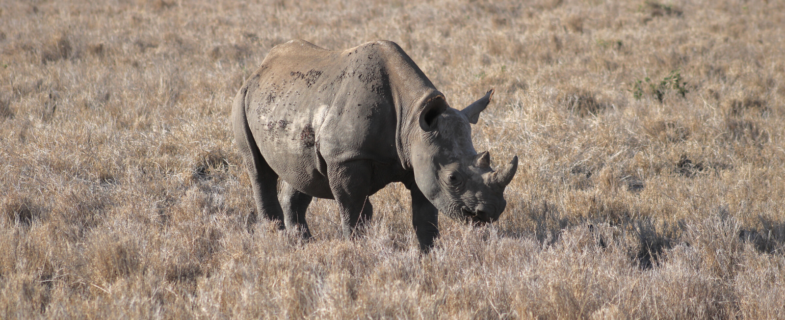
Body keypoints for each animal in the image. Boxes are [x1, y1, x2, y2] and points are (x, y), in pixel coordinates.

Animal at [230, 39, 516, 250]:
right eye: (453, 178)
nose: (491, 212)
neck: (412, 120)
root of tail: (261, 67)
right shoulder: (346, 156)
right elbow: (354, 210)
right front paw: (357, 249)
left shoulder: (420, 158)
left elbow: (425, 215)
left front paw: (429, 255)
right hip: (242, 98)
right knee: (258, 170)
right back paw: (275, 238)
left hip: (293, 102)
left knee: (301, 173)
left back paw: (302, 244)